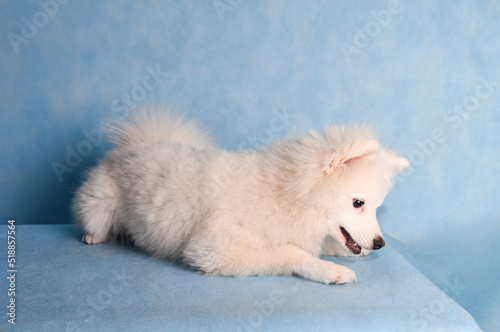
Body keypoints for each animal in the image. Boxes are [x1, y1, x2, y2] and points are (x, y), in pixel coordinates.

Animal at [74, 110, 410, 284]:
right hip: (98, 205)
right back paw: (92, 236)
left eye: (377, 207)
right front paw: (330, 270)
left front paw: (345, 254)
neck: (287, 195)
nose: (381, 243)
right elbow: (291, 253)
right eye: (358, 203)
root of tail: (136, 145)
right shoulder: (213, 249)